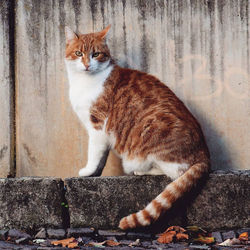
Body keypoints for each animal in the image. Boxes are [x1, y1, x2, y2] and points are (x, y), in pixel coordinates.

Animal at [64, 25, 209, 230]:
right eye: (78, 53)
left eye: (96, 54)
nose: (87, 65)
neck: (85, 82)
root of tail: (204, 154)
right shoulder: (101, 133)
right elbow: (102, 157)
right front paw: (96, 173)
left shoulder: (97, 126)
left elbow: (94, 153)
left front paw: (88, 171)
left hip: (152, 132)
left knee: (176, 173)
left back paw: (142, 170)